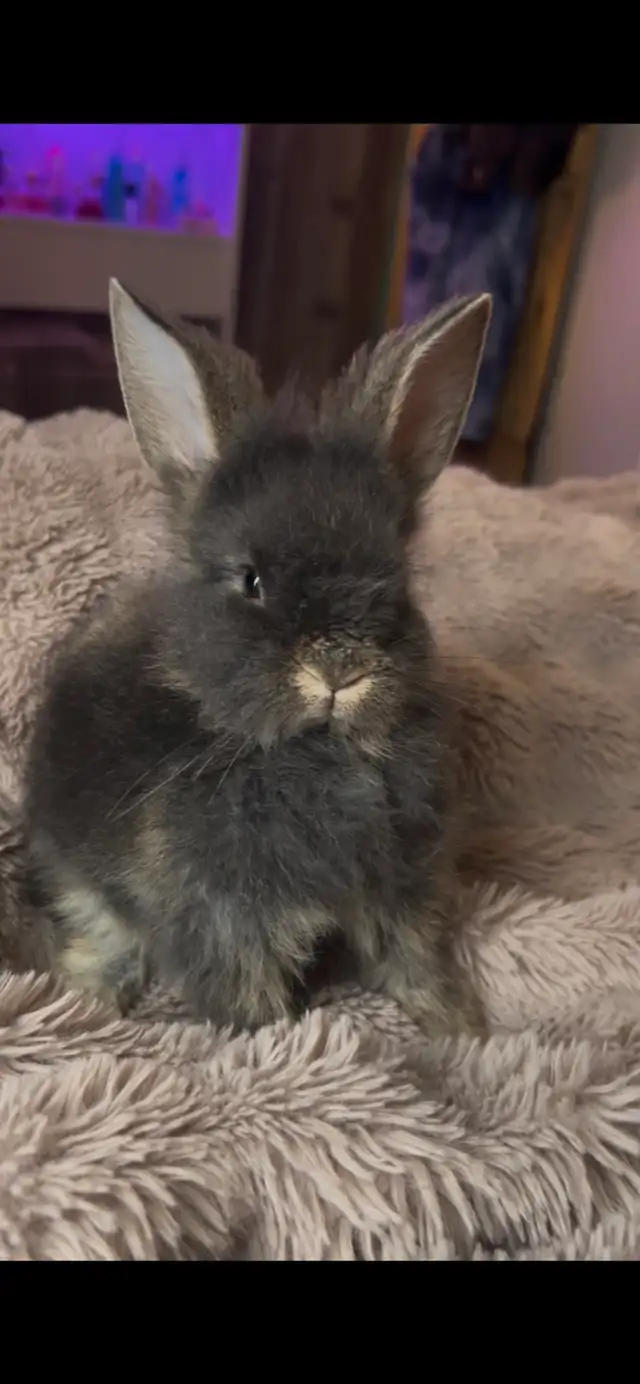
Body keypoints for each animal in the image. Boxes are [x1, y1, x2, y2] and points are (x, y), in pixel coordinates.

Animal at [24, 280, 491, 1036]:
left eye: (396, 582)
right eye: (251, 580)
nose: (339, 667)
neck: (309, 751)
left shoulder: (405, 889)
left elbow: (416, 958)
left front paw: (458, 1024)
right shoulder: (227, 923)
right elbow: (252, 1002)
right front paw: (283, 1040)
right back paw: (91, 998)